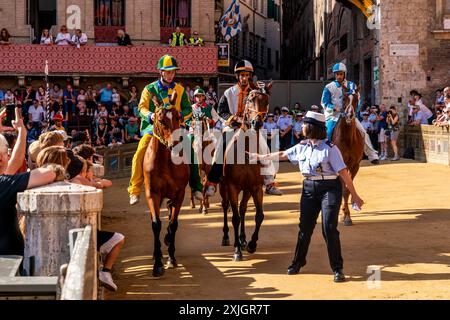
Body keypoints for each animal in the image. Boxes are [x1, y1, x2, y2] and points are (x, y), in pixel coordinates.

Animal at [219, 82, 270, 260]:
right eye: (250, 100)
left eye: (266, 101)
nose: (257, 123)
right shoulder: (232, 186)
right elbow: (235, 217)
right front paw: (237, 251)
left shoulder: (255, 187)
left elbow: (259, 215)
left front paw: (252, 244)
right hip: (223, 187)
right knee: (226, 206)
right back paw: (227, 237)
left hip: (247, 189)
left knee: (243, 208)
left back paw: (242, 239)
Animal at [330, 87, 366, 226]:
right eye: (344, 98)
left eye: (356, 99)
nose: (350, 115)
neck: (348, 139)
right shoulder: (341, 166)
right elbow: (344, 190)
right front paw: (345, 215)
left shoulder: (355, 166)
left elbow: (348, 188)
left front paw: (347, 213)